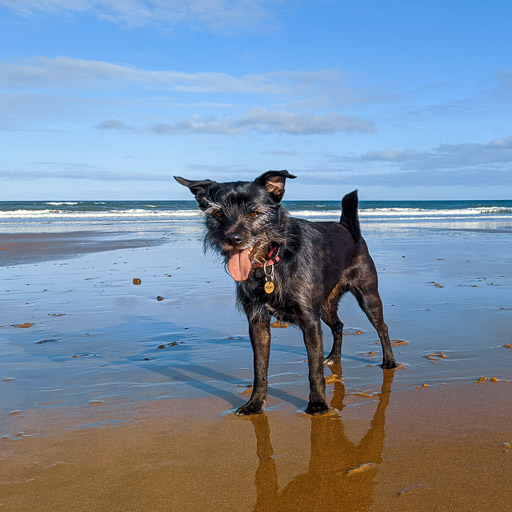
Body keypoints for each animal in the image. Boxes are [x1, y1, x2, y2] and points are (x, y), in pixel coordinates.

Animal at [174, 172, 398, 416]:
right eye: (217, 214)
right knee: (338, 325)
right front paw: (255, 403)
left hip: (367, 296)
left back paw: (389, 361)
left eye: (254, 213)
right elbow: (259, 369)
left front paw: (318, 403)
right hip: (325, 307)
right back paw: (333, 357)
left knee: (383, 327)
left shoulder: (310, 321)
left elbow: (314, 369)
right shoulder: (258, 323)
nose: (232, 239)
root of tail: (346, 227)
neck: (272, 261)